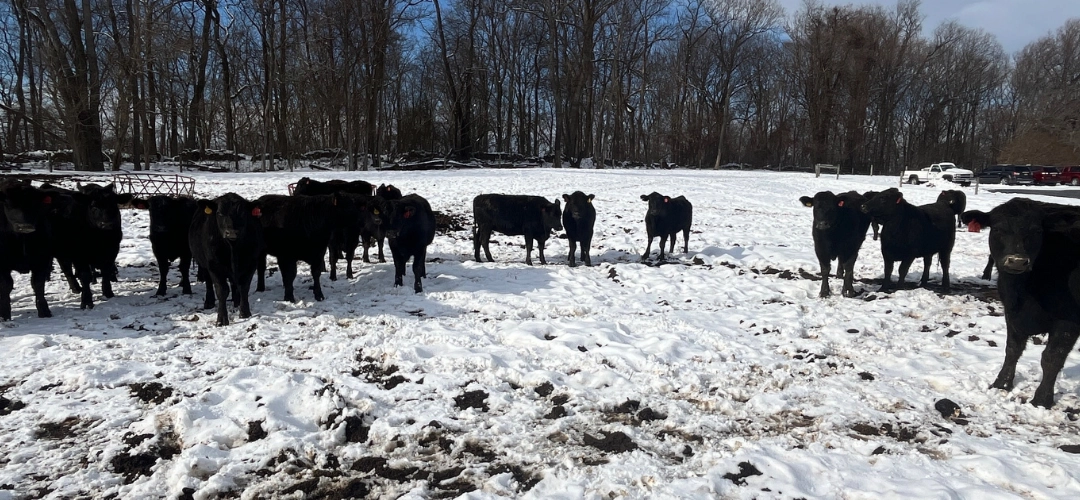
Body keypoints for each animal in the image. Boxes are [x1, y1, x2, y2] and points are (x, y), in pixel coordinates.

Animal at [0, 182, 54, 320]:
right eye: (7, 203)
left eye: (34, 204)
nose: (25, 226)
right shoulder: (2, 264)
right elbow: (6, 285)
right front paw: (4, 314)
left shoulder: (42, 259)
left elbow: (38, 284)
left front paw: (44, 311)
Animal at [188, 193, 264, 326]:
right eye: (219, 213)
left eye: (242, 213)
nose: (232, 232)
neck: (233, 247)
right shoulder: (214, 265)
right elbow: (222, 290)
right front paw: (222, 319)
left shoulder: (251, 263)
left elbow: (244, 287)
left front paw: (245, 312)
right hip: (204, 265)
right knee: (209, 282)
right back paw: (209, 302)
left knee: (234, 283)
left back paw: (236, 301)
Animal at [961, 198, 1080, 408]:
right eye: (997, 229)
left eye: (1037, 231)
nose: (1016, 261)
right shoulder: (1011, 312)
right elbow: (1012, 349)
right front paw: (1001, 383)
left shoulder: (1069, 319)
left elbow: (1052, 358)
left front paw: (1041, 400)